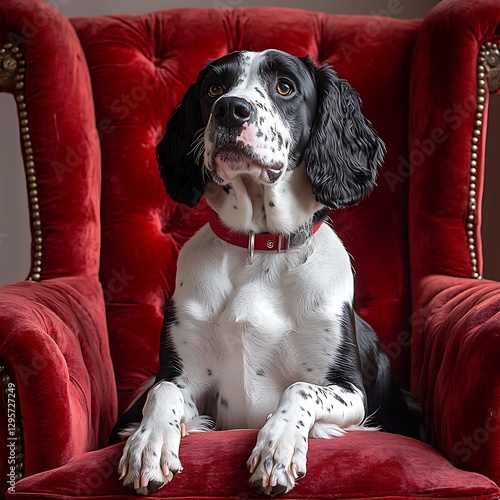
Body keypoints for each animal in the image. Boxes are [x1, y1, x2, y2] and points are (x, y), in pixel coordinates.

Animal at [111, 48, 420, 494]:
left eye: (285, 87)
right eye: (214, 88)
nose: (230, 109)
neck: (260, 250)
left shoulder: (350, 391)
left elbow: (301, 389)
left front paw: (279, 446)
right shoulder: (184, 375)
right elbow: (163, 391)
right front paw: (148, 445)